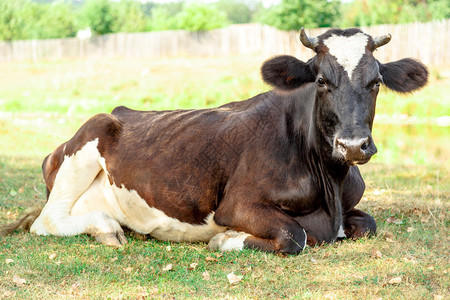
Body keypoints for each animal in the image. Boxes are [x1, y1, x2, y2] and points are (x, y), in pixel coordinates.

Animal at [0, 27, 428, 253]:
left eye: (376, 82)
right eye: (321, 80)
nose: (353, 145)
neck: (331, 189)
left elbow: (368, 223)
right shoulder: (237, 204)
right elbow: (295, 235)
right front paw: (227, 240)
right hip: (91, 134)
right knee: (47, 220)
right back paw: (106, 228)